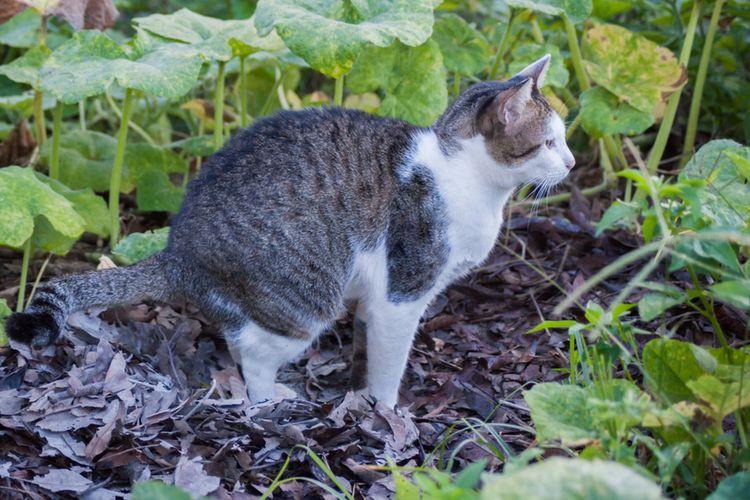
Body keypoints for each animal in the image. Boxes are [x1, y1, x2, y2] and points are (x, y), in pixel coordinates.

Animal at [5, 54, 576, 406]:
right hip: (305, 301)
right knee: (256, 355)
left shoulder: (374, 296)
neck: (467, 179)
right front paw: (387, 414)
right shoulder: (403, 289)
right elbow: (389, 362)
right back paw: (269, 399)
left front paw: (358, 394)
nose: (571, 163)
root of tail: (177, 252)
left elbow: (366, 349)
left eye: (564, 139)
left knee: (240, 340)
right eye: (549, 142)